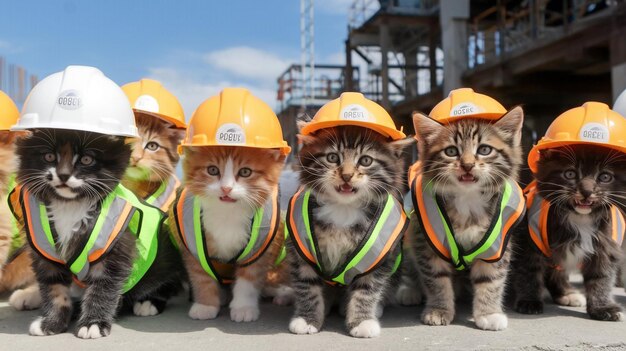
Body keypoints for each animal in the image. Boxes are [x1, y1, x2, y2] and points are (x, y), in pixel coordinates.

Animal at [13, 129, 182, 338]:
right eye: (49, 156)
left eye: (86, 159)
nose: (63, 175)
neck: (71, 205)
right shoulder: (46, 256)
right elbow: (54, 289)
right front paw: (52, 322)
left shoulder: (115, 252)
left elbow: (102, 289)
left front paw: (93, 324)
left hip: (164, 257)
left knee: (171, 281)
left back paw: (148, 301)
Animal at [169, 147, 288, 324]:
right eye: (212, 170)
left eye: (245, 172)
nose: (226, 188)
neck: (227, 212)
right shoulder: (194, 247)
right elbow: (201, 276)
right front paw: (206, 305)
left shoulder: (259, 249)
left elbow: (249, 279)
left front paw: (244, 308)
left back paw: (284, 294)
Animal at [286, 126, 412, 338]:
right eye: (332, 157)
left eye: (366, 160)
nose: (346, 176)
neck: (343, 208)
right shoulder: (301, 251)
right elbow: (307, 285)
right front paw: (307, 319)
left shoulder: (378, 255)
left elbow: (368, 288)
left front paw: (362, 321)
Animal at [408, 108, 524, 332]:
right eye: (451, 151)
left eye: (485, 149)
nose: (468, 165)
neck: (467, 199)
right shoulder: (426, 244)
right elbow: (436, 279)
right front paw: (439, 310)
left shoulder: (496, 245)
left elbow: (491, 279)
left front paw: (489, 313)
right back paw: (409, 291)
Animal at [512, 146, 624, 322]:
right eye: (570, 174)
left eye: (605, 177)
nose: (586, 191)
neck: (580, 218)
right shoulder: (529, 240)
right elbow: (529, 270)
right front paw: (529, 301)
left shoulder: (604, 246)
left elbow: (601, 277)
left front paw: (602, 307)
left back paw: (567, 293)